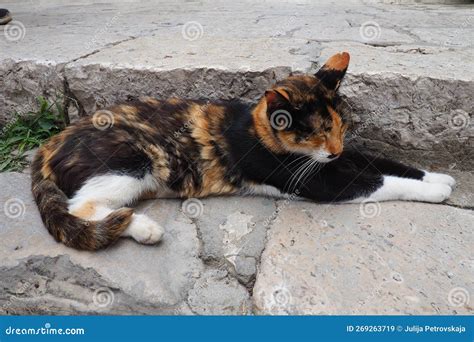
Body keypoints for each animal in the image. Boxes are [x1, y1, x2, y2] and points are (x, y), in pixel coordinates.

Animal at [30, 52, 456, 251]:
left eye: (341, 127)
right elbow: (380, 182)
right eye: (316, 132)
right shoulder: (318, 181)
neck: (259, 129)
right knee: (81, 206)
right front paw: (435, 191)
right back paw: (144, 227)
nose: (333, 151)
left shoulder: (344, 158)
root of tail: (48, 146)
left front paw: (437, 175)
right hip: (133, 160)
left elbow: (383, 162)